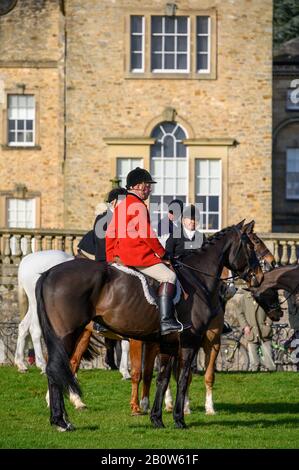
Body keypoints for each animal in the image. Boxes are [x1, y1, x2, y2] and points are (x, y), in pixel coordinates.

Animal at [36, 222, 268, 432]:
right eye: (251, 244)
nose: (259, 276)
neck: (197, 279)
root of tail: (48, 273)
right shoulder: (189, 342)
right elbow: (182, 378)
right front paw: (179, 419)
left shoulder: (167, 344)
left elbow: (162, 379)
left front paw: (157, 418)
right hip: (68, 335)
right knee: (56, 368)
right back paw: (61, 421)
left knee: (57, 369)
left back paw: (61, 418)